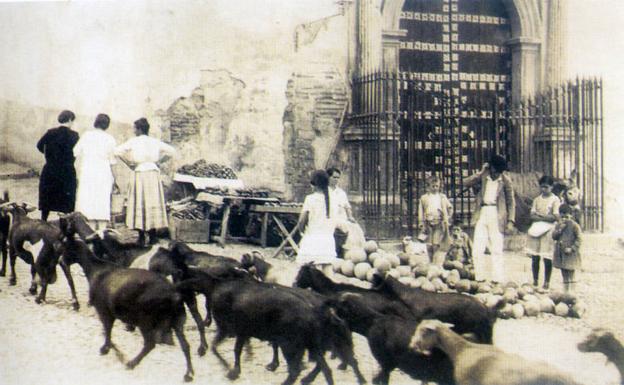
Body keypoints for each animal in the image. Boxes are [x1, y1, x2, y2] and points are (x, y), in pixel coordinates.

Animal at [61, 219, 194, 380]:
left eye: (66, 247)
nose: (61, 262)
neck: (97, 269)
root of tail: (174, 294)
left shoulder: (104, 310)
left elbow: (107, 329)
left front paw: (105, 348)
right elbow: (107, 329)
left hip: (146, 320)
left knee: (150, 344)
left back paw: (131, 363)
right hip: (177, 321)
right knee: (185, 345)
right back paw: (188, 374)